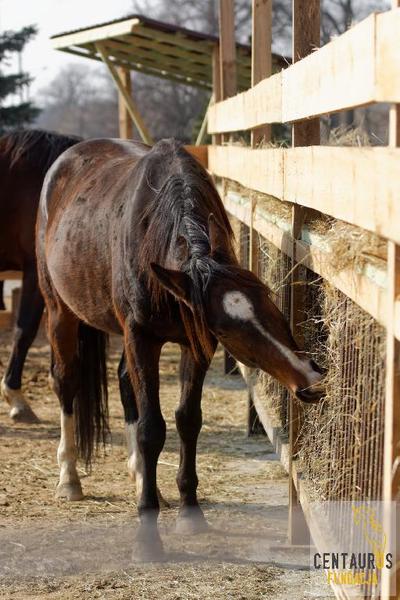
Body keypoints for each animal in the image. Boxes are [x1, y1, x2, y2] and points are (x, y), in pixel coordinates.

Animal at [36, 138, 324, 560]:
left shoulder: (194, 343)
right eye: (226, 328)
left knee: (126, 384)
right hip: (60, 310)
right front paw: (147, 538)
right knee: (66, 382)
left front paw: (189, 511)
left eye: (270, 303)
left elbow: (187, 419)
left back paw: (144, 480)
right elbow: (152, 428)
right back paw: (69, 479)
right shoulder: (141, 337)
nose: (311, 377)